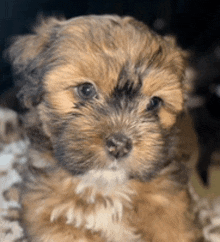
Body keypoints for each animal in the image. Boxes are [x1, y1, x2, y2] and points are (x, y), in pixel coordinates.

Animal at [6, 15, 204, 242]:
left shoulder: (172, 209)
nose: (119, 145)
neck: (105, 189)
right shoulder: (47, 214)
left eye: (154, 103)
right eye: (86, 90)